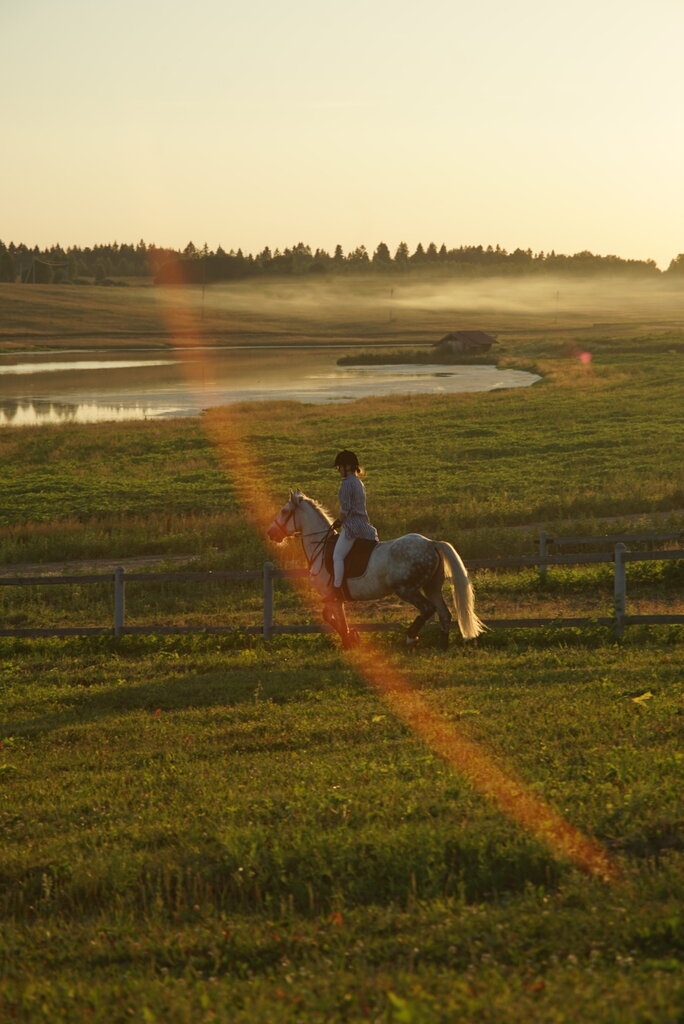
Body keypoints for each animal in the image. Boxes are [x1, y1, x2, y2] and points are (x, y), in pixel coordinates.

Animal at [264, 491, 483, 651]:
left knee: (428, 609)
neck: (321, 546)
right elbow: (335, 618)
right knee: (444, 614)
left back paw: (411, 638)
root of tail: (431, 543)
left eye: (284, 511)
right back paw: (442, 646)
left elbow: (333, 618)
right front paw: (352, 637)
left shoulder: (332, 596)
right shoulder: (336, 599)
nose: (271, 533)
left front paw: (349, 641)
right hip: (432, 587)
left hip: (406, 589)